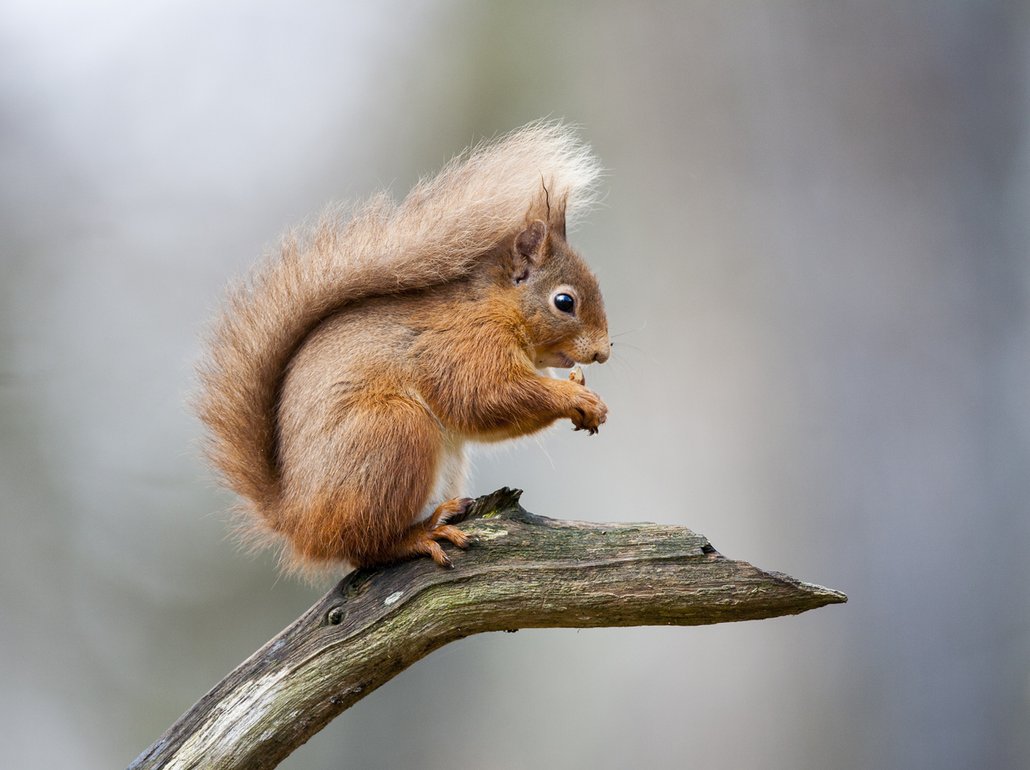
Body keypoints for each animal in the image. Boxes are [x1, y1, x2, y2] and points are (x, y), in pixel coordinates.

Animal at [196, 123, 605, 576]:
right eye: (564, 302)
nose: (603, 352)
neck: (495, 307)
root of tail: (297, 520)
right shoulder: (463, 346)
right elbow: (485, 396)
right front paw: (575, 397)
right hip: (394, 431)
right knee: (366, 547)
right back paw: (421, 534)